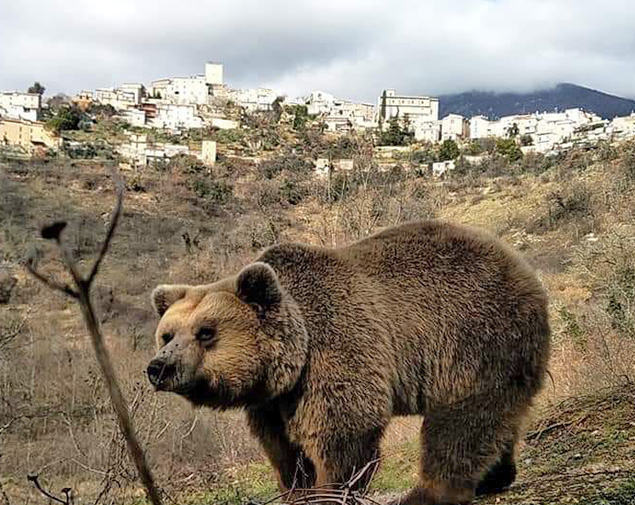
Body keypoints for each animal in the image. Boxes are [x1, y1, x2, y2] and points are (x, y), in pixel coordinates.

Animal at [147, 220, 548, 504]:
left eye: (205, 332)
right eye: (168, 334)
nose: (159, 367)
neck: (293, 358)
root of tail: (519, 265)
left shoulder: (335, 347)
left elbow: (344, 426)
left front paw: (330, 490)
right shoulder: (274, 400)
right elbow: (282, 446)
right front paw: (298, 488)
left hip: (474, 336)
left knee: (462, 419)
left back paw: (429, 494)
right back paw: (497, 476)